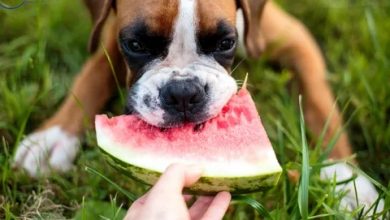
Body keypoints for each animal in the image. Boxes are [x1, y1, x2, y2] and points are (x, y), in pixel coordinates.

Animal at [13, 0, 382, 213]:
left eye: (226, 42)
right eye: (136, 45)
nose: (182, 93)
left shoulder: (295, 39)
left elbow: (321, 107)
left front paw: (347, 179)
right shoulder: (112, 34)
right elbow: (92, 74)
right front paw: (52, 138)